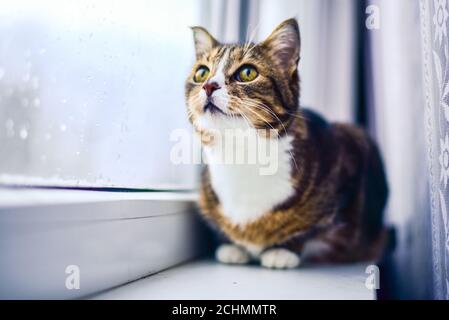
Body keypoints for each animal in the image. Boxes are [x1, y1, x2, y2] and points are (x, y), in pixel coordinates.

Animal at [184, 18, 386, 268]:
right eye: (201, 73)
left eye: (247, 72)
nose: (209, 86)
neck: (242, 153)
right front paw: (233, 246)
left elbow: (307, 228)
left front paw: (282, 250)